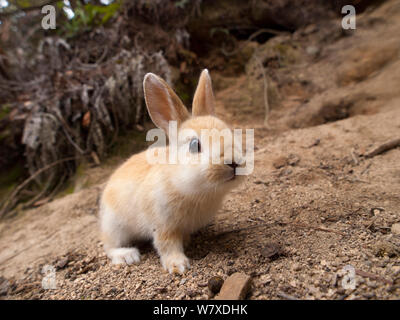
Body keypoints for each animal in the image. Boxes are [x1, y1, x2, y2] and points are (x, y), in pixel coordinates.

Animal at [99, 69, 244, 274]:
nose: (234, 162)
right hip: (114, 226)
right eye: (194, 145)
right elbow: (167, 246)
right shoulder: (163, 225)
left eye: (231, 133)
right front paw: (178, 266)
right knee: (109, 246)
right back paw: (128, 256)